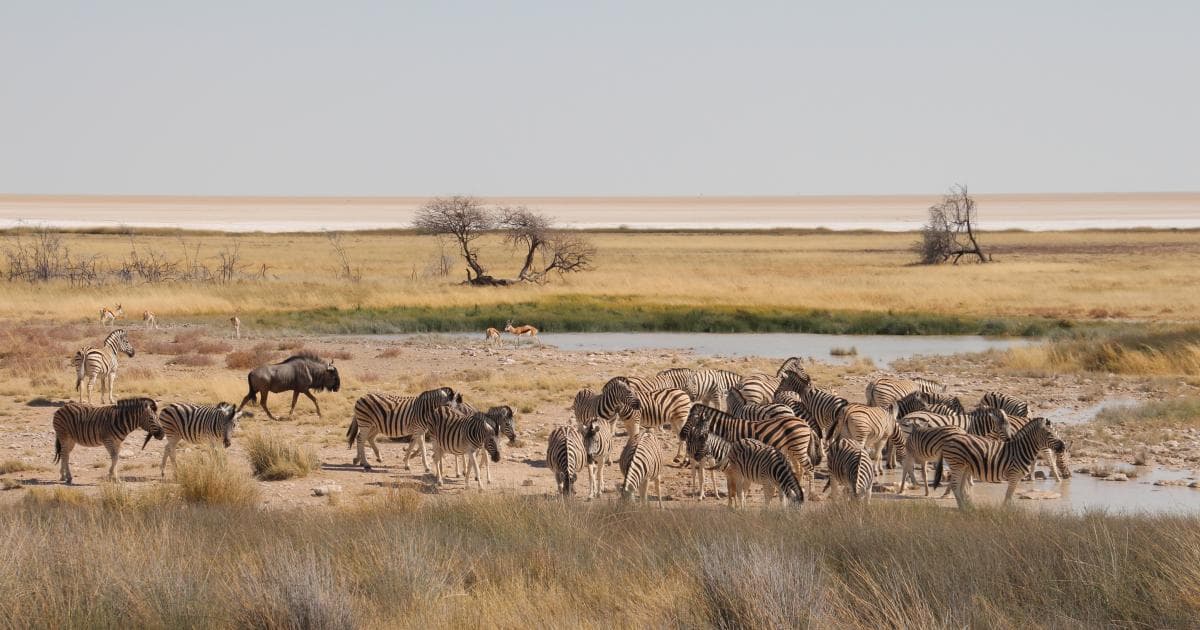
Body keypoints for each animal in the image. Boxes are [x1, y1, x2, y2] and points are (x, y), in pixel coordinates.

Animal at [681, 405, 820, 489]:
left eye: (690, 420)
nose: (682, 435)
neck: (727, 428)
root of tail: (806, 424)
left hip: (798, 447)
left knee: (809, 468)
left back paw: (811, 494)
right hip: (793, 449)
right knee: (800, 468)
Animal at [936, 415, 1070, 508]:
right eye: (1049, 433)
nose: (1063, 446)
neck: (1021, 450)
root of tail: (948, 440)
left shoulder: (1017, 477)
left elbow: (1010, 495)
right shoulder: (1014, 474)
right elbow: (1008, 495)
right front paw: (1006, 511)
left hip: (964, 467)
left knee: (960, 486)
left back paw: (967, 507)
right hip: (957, 465)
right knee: (955, 485)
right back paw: (963, 508)